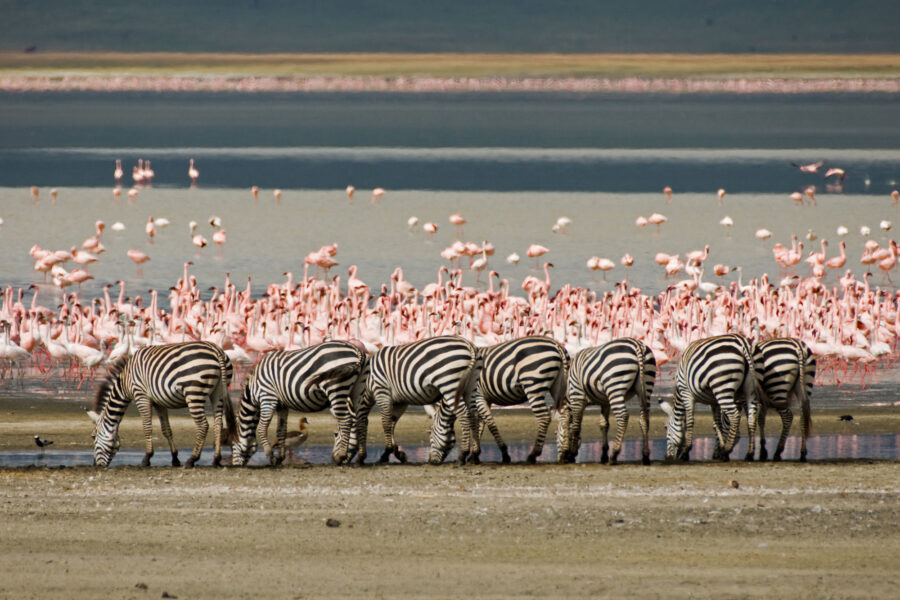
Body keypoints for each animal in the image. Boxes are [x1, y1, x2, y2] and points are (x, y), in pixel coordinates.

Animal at [92, 341, 235, 468]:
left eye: (93, 437)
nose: (95, 465)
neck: (125, 381)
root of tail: (216, 350)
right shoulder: (159, 402)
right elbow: (166, 429)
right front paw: (175, 458)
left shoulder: (141, 395)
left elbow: (147, 427)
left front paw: (147, 458)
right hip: (218, 392)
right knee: (218, 424)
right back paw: (216, 459)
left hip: (194, 392)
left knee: (203, 425)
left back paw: (192, 459)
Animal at [231, 341, 367, 466]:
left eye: (232, 444)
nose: (234, 465)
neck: (253, 389)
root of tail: (355, 349)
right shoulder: (282, 405)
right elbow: (281, 430)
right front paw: (280, 457)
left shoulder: (267, 398)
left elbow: (261, 428)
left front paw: (271, 456)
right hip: (357, 391)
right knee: (360, 420)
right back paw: (360, 457)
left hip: (336, 388)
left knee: (346, 420)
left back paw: (341, 456)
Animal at [352, 335, 480, 465]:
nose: (432, 461)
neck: (367, 382)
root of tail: (467, 344)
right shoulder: (400, 401)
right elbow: (392, 422)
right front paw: (398, 454)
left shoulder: (381, 390)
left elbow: (385, 423)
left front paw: (384, 455)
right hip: (470, 387)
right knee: (474, 415)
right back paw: (475, 455)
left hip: (449, 384)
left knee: (464, 415)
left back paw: (462, 456)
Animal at [466, 336, 568, 464]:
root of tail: (556, 345)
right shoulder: (484, 399)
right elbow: (480, 424)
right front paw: (474, 455)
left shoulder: (478, 396)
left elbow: (488, 423)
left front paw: (504, 454)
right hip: (558, 386)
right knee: (565, 415)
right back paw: (566, 453)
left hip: (533, 386)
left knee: (544, 416)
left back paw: (533, 455)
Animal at [662, 333, 760, 462]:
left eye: (665, 427)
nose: (666, 457)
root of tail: (742, 342)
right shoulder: (714, 402)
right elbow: (717, 424)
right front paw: (719, 448)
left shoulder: (686, 393)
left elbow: (690, 420)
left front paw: (686, 451)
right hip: (749, 390)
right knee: (751, 418)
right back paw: (749, 454)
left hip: (722, 387)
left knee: (734, 415)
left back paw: (727, 450)